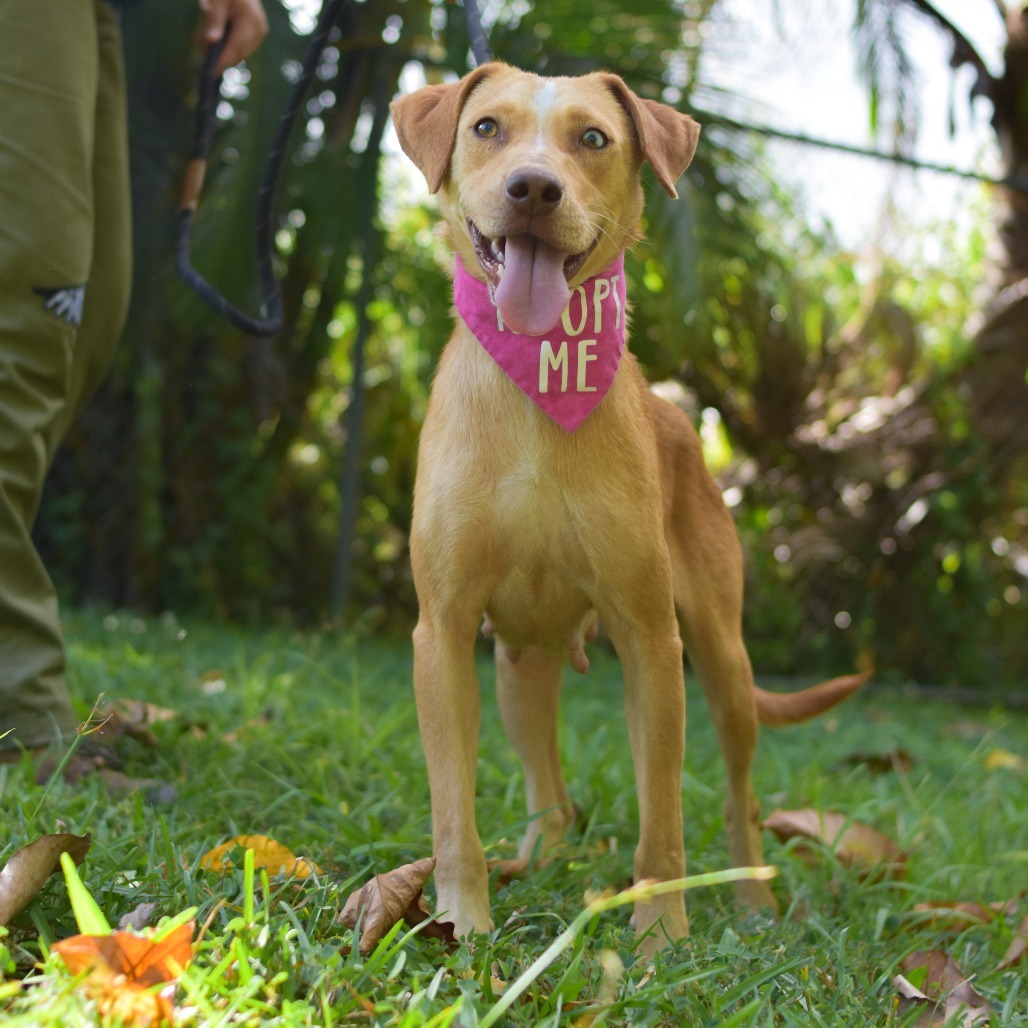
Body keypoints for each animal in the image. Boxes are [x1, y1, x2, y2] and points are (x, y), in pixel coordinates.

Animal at [388, 60, 863, 949]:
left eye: (593, 138)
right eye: (487, 128)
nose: (533, 188)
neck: (538, 381)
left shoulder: (651, 639)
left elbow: (662, 818)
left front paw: (661, 936)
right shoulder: (443, 634)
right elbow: (452, 811)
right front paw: (464, 920)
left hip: (723, 661)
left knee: (742, 795)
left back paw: (752, 900)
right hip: (518, 669)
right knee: (550, 792)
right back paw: (539, 861)